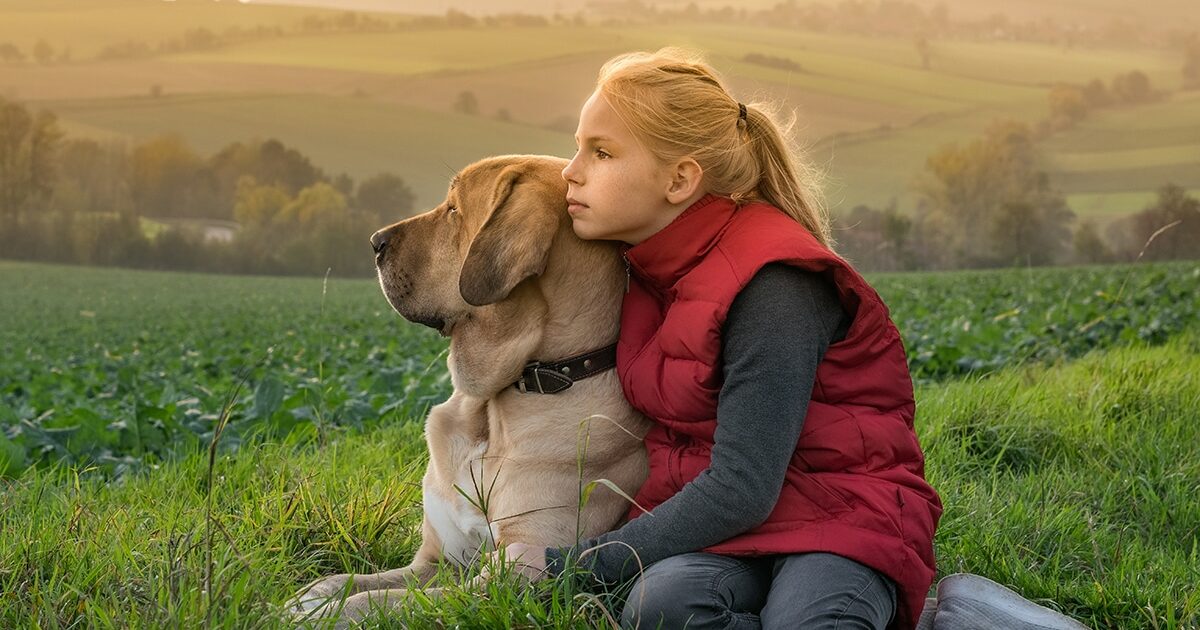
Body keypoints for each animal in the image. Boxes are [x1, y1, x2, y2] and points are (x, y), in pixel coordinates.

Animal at [286, 153, 652, 624]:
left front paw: (326, 614)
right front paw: (308, 598)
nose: (374, 241)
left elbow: (387, 602)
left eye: (454, 210)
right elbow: (357, 581)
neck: (494, 409)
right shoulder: (440, 560)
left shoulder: (515, 574)